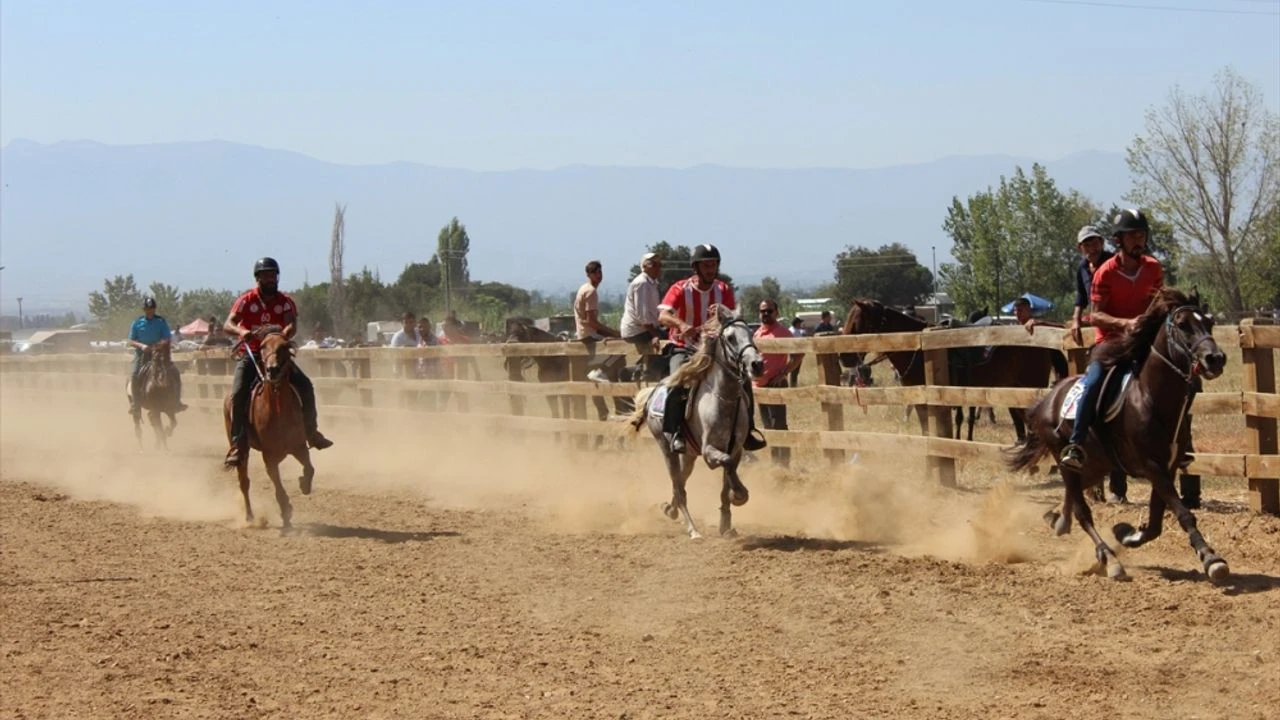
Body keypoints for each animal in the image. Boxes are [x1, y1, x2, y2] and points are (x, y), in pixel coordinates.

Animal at [224, 326, 316, 527]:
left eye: (285, 346)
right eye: (263, 346)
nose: (272, 370)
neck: (278, 410)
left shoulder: (298, 446)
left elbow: (309, 468)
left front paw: (303, 484)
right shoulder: (269, 456)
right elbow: (278, 486)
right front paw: (286, 510)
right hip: (242, 448)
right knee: (244, 481)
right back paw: (250, 518)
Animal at [627, 303, 762, 538]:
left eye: (751, 333)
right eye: (730, 338)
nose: (756, 364)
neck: (722, 399)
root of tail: (652, 393)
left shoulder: (735, 448)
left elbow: (727, 476)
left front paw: (726, 523)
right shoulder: (709, 450)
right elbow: (727, 464)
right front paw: (740, 494)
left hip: (688, 454)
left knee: (681, 480)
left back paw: (670, 509)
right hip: (666, 448)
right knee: (678, 486)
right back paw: (693, 529)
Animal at [1008, 283, 1228, 579]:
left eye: (1210, 322)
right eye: (1183, 325)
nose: (1215, 358)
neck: (1149, 397)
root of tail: (1048, 400)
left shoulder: (1167, 467)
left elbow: (1155, 523)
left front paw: (1127, 533)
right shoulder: (1152, 466)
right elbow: (1182, 513)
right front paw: (1211, 558)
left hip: (1095, 465)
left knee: (1073, 497)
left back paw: (1058, 518)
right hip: (1067, 460)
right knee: (1082, 511)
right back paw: (1109, 558)